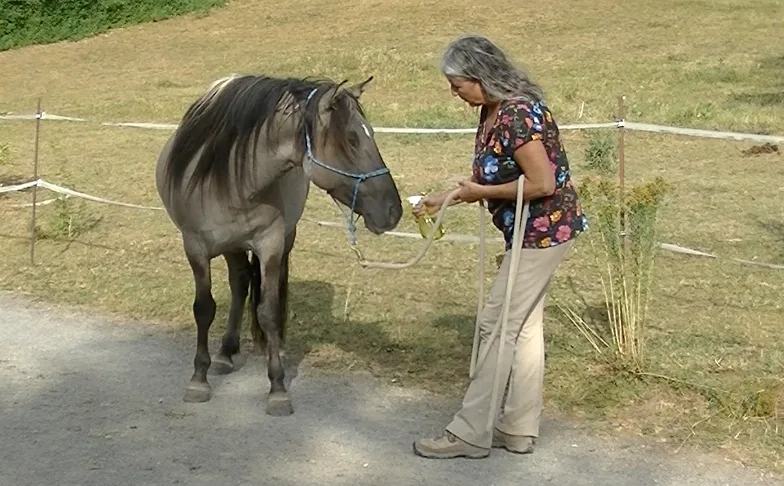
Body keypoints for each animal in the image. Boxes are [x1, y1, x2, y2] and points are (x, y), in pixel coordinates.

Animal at [154, 73, 403, 416]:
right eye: (352, 139)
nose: (394, 211)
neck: (234, 176)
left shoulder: (270, 244)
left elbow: (269, 312)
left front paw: (277, 387)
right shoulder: (194, 247)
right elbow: (204, 308)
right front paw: (198, 379)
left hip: (282, 239)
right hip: (231, 245)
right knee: (240, 283)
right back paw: (225, 354)